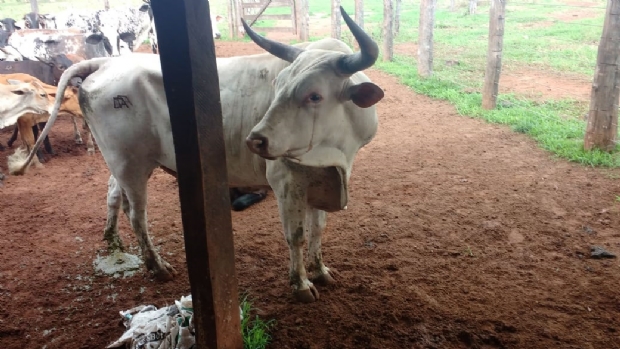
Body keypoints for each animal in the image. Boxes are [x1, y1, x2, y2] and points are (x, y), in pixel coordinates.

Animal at [13, 6, 382, 304]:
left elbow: (319, 228)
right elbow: (297, 235)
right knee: (137, 214)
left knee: (112, 194)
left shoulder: (322, 177)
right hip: (130, 163)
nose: (256, 141)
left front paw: (321, 271)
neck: (335, 151)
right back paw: (157, 266)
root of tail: (107, 62)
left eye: (315, 95)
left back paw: (113, 240)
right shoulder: (286, 181)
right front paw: (301, 284)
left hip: (120, 161)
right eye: (277, 85)